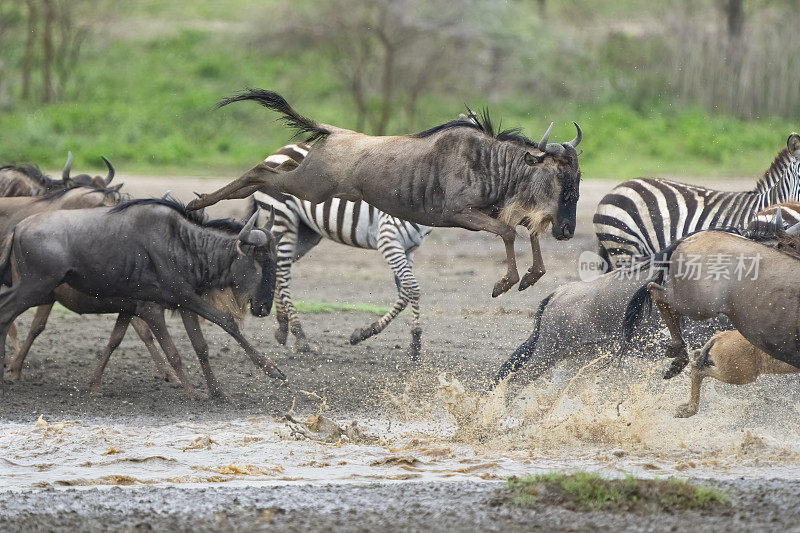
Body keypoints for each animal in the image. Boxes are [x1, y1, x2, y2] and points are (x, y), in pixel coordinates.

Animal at [253, 141, 434, 358]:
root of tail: (282, 149)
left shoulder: (409, 248)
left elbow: (404, 294)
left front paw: (363, 333)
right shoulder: (389, 239)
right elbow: (412, 288)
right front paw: (415, 342)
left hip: (305, 232)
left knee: (279, 267)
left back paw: (282, 327)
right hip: (282, 216)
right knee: (282, 270)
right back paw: (299, 335)